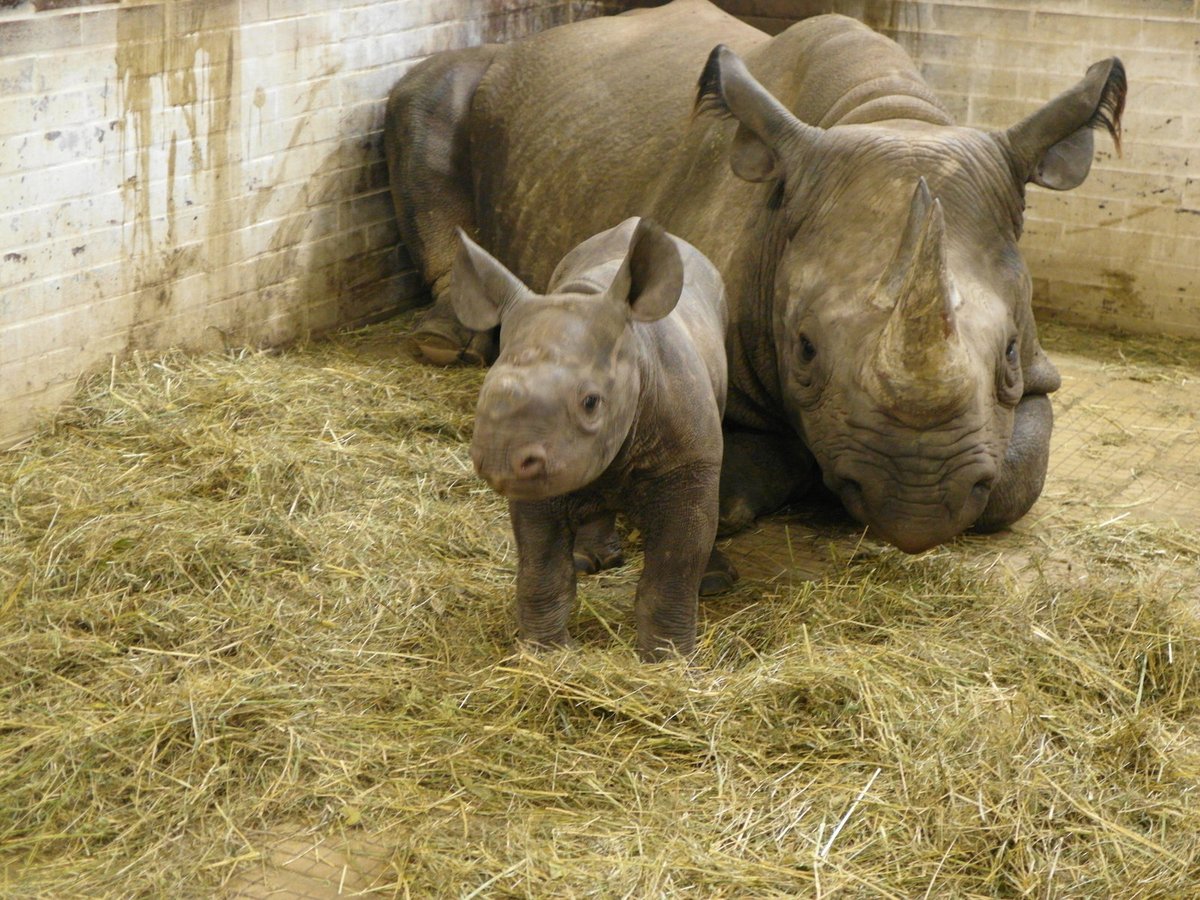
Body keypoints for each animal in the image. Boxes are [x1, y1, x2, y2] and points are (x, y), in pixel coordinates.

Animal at [451, 214, 724, 657]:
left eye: (591, 402)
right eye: (485, 392)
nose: (498, 461)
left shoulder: (690, 461)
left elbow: (673, 571)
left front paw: (667, 660)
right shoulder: (539, 474)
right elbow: (542, 569)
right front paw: (545, 653)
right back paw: (589, 561)